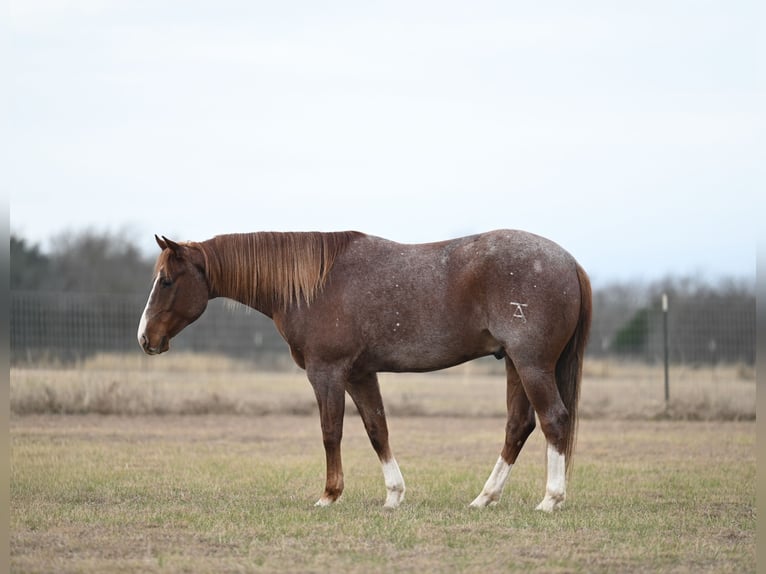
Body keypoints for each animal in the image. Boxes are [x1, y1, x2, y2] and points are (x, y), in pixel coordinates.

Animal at [137, 230, 591, 511]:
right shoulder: (359, 374)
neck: (315, 286)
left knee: (553, 419)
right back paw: (484, 498)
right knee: (519, 425)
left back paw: (550, 499)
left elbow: (331, 431)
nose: (145, 338)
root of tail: (569, 261)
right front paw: (393, 495)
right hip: (514, 363)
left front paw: (329, 495)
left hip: (531, 364)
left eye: (166, 280)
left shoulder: (327, 372)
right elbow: (377, 429)